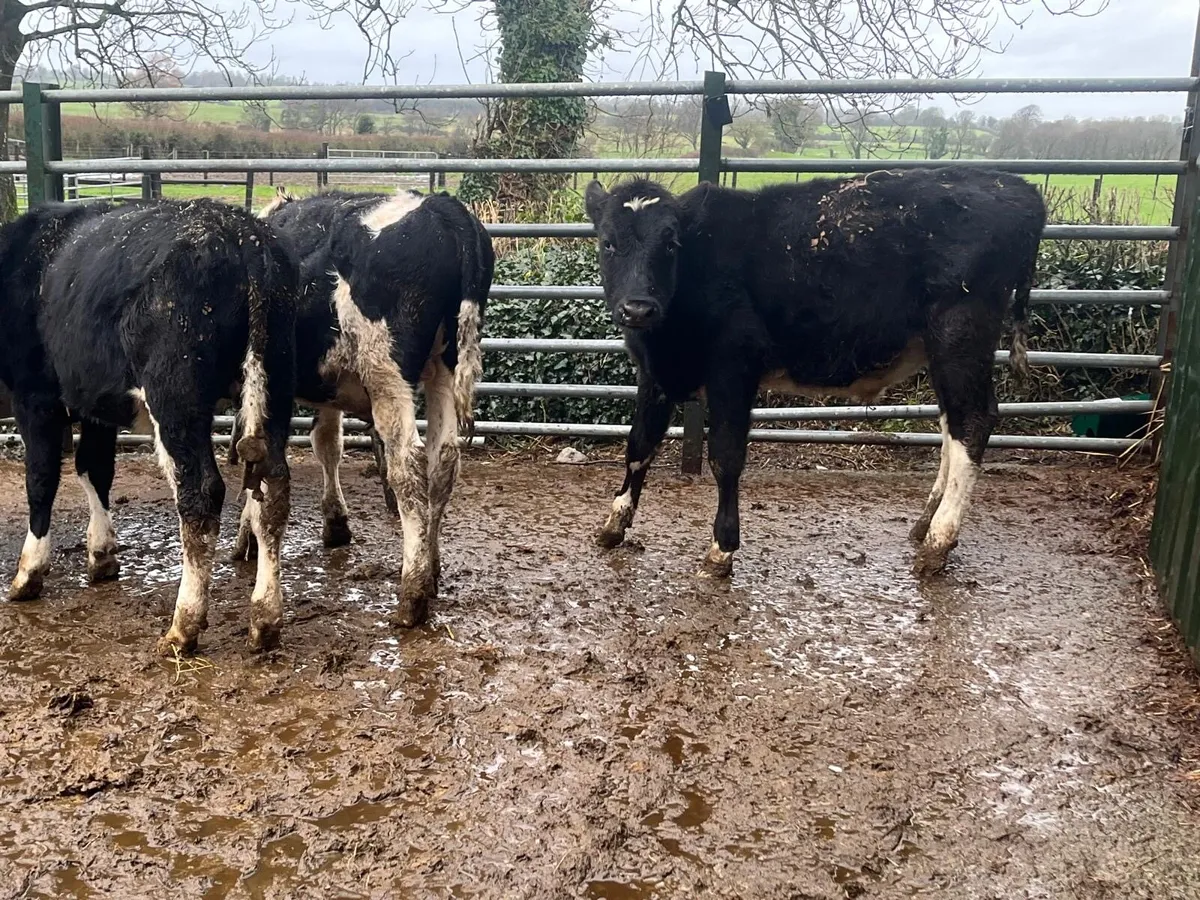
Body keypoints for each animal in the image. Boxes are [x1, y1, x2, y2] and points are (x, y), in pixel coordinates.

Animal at [0, 199, 298, 655]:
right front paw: (102, 554)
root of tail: (241, 233)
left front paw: (27, 573)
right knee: (272, 489)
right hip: (276, 388)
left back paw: (184, 625)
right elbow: (94, 468)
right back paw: (265, 620)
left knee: (201, 495)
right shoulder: (96, 402)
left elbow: (41, 478)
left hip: (175, 395)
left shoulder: (35, 395)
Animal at [231, 187, 493, 628]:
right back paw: (431, 567)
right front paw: (335, 523)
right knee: (444, 461)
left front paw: (245, 536)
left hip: (386, 372)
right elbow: (326, 444)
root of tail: (442, 207)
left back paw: (412, 593)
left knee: (407, 465)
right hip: (443, 367)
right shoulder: (328, 388)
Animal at [584, 169, 1046, 577]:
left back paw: (938, 540)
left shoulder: (733, 368)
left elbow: (726, 458)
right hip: (941, 348)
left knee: (974, 420)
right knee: (953, 424)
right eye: (608, 243)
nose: (638, 308)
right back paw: (924, 523)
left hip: (961, 332)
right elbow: (639, 445)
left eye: (671, 243)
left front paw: (721, 550)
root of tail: (1016, 186)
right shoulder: (654, 374)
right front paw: (614, 524)